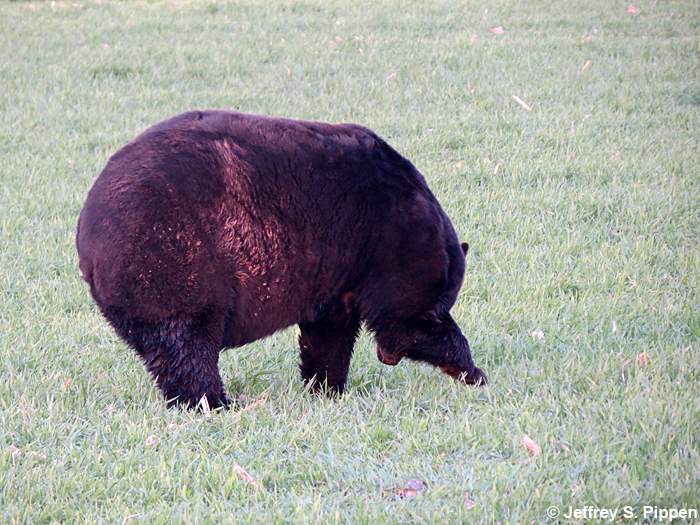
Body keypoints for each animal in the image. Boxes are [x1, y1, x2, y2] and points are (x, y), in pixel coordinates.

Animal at [76, 110, 487, 409]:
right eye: (440, 302)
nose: (387, 357)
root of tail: (89, 240)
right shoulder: (386, 247)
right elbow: (404, 321)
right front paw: (472, 370)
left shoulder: (336, 274)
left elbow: (329, 333)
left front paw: (326, 387)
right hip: (174, 259)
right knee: (188, 342)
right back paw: (216, 402)